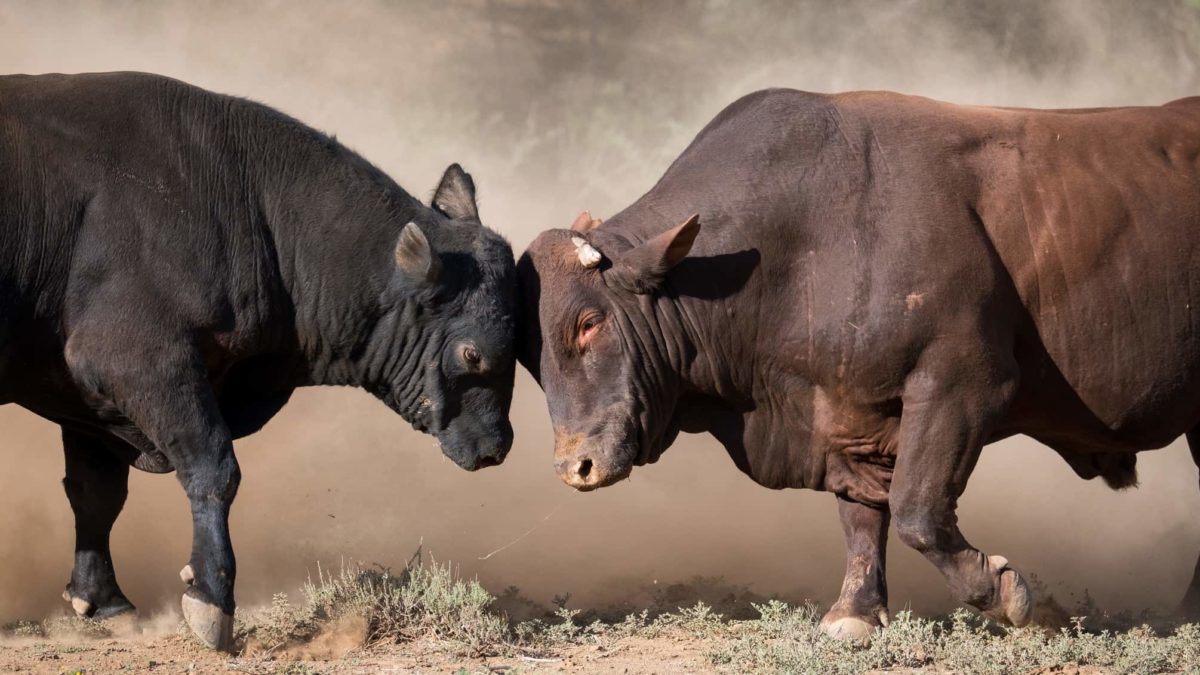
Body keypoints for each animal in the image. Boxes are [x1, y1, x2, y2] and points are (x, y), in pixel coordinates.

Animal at [0, 72, 517, 650]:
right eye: (471, 352)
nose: (497, 446)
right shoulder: (140, 364)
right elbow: (212, 469)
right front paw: (211, 601)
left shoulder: (87, 403)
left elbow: (96, 494)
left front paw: (104, 601)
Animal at [517, 88, 1200, 640]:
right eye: (530, 351)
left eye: (589, 322)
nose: (575, 466)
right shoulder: (848, 416)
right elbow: (862, 515)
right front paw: (856, 612)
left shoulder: (961, 387)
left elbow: (918, 509)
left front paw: (1008, 595)